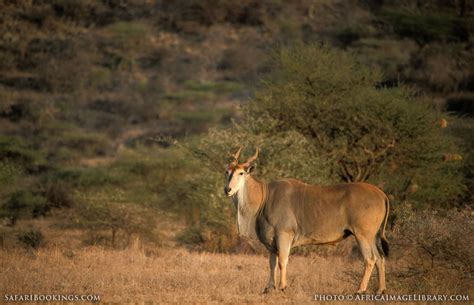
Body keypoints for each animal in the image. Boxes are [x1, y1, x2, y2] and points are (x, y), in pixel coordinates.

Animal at [225, 146, 388, 294]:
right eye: (227, 172)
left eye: (241, 173)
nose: (227, 190)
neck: (265, 196)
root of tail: (381, 194)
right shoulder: (272, 243)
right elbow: (272, 263)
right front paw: (269, 288)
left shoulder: (284, 235)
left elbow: (282, 261)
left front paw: (283, 287)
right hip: (371, 237)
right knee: (380, 258)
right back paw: (380, 290)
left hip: (362, 235)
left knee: (370, 259)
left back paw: (360, 290)